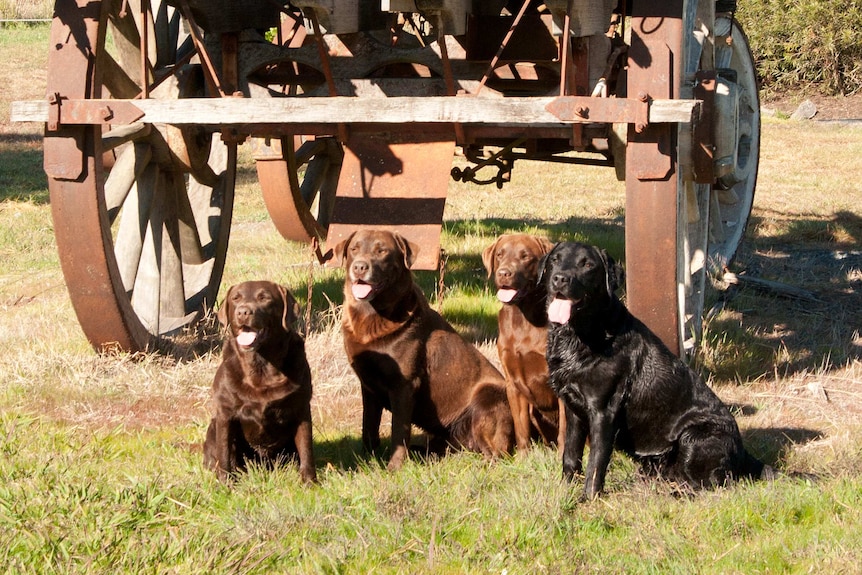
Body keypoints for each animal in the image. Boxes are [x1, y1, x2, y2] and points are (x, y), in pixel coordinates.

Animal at [205, 282, 318, 484]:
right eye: (236, 298)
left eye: (264, 298)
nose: (243, 312)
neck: (262, 366)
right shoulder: (225, 413)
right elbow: (224, 452)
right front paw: (225, 484)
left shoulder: (301, 408)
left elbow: (306, 449)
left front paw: (309, 482)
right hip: (213, 427)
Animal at [336, 227, 512, 470]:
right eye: (354, 248)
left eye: (382, 251)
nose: (360, 267)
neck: (371, 315)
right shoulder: (368, 384)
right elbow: (368, 426)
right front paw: (367, 461)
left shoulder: (404, 385)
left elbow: (399, 430)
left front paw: (394, 467)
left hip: (486, 397)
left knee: (497, 452)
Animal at [482, 233, 564, 450]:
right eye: (500, 254)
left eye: (525, 256)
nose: (503, 273)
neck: (523, 318)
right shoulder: (513, 383)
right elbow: (521, 430)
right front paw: (523, 456)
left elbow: (565, 432)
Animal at [540, 243, 768, 500]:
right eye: (555, 260)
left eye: (587, 264)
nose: (560, 278)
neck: (578, 337)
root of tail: (744, 453)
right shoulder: (573, 408)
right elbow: (570, 453)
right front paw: (565, 488)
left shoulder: (603, 411)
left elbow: (596, 462)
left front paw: (588, 498)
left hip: (695, 434)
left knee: (714, 483)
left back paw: (677, 494)